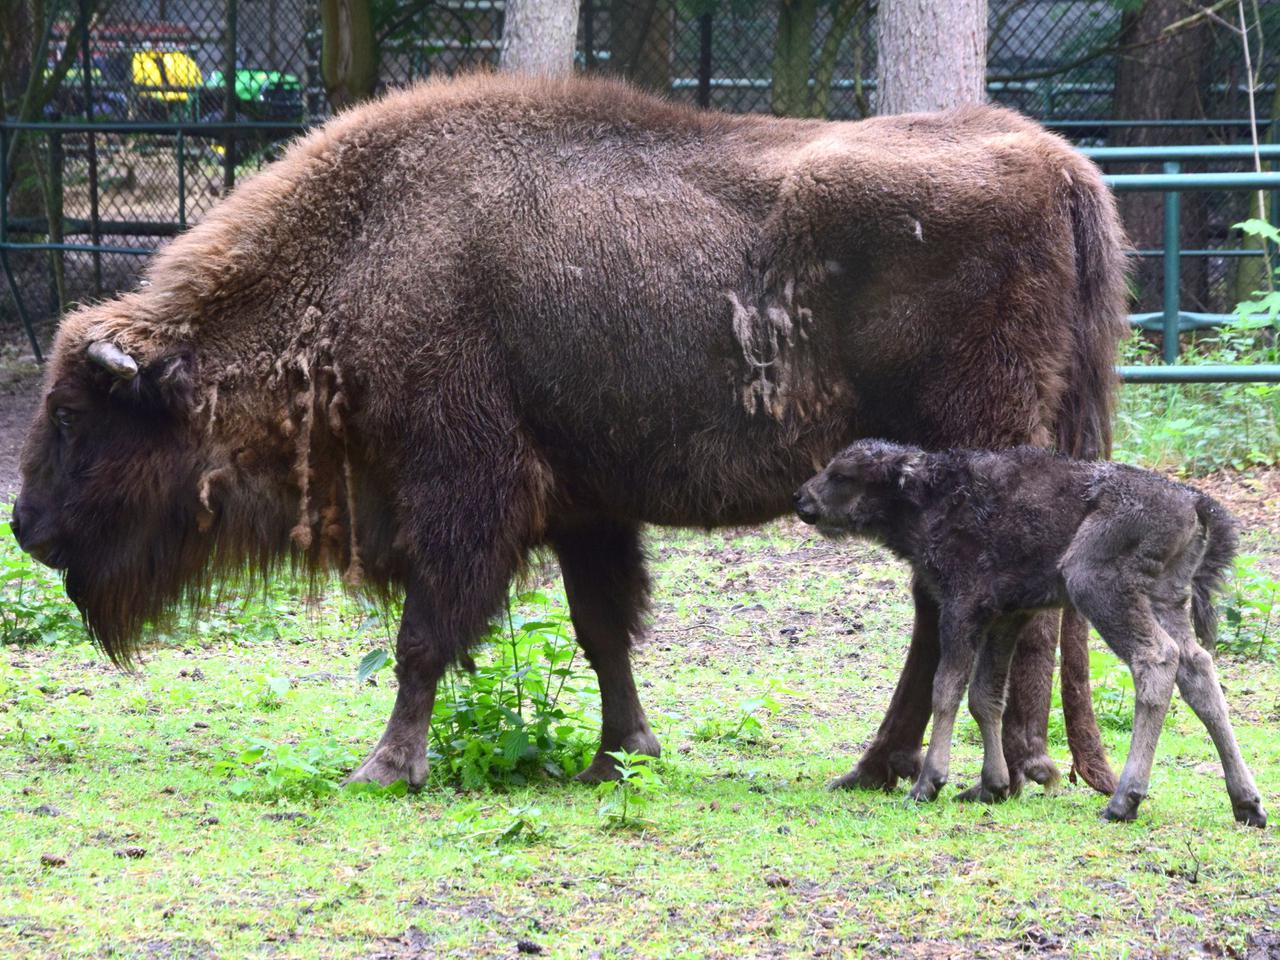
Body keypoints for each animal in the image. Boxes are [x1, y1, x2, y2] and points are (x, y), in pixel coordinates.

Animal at [15, 75, 1126, 793]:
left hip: (975, 456)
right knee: (950, 616)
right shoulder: (585, 508)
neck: (365, 250)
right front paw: (618, 755)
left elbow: (425, 636)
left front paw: (384, 767)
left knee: (997, 615)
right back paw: (885, 767)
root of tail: (1061, 165)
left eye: (73, 418)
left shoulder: (463, 492)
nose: (25, 527)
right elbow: (602, 631)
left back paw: (1009, 768)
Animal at [793, 442, 1264, 829]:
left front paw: (929, 784)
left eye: (842, 475)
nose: (802, 498)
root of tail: (1194, 501)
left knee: (1157, 659)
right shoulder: (1007, 616)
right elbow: (985, 697)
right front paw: (992, 787)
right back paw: (1248, 805)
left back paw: (1122, 802)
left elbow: (946, 690)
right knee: (1198, 669)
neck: (930, 496)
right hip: (1167, 599)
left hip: (1096, 584)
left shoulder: (961, 608)